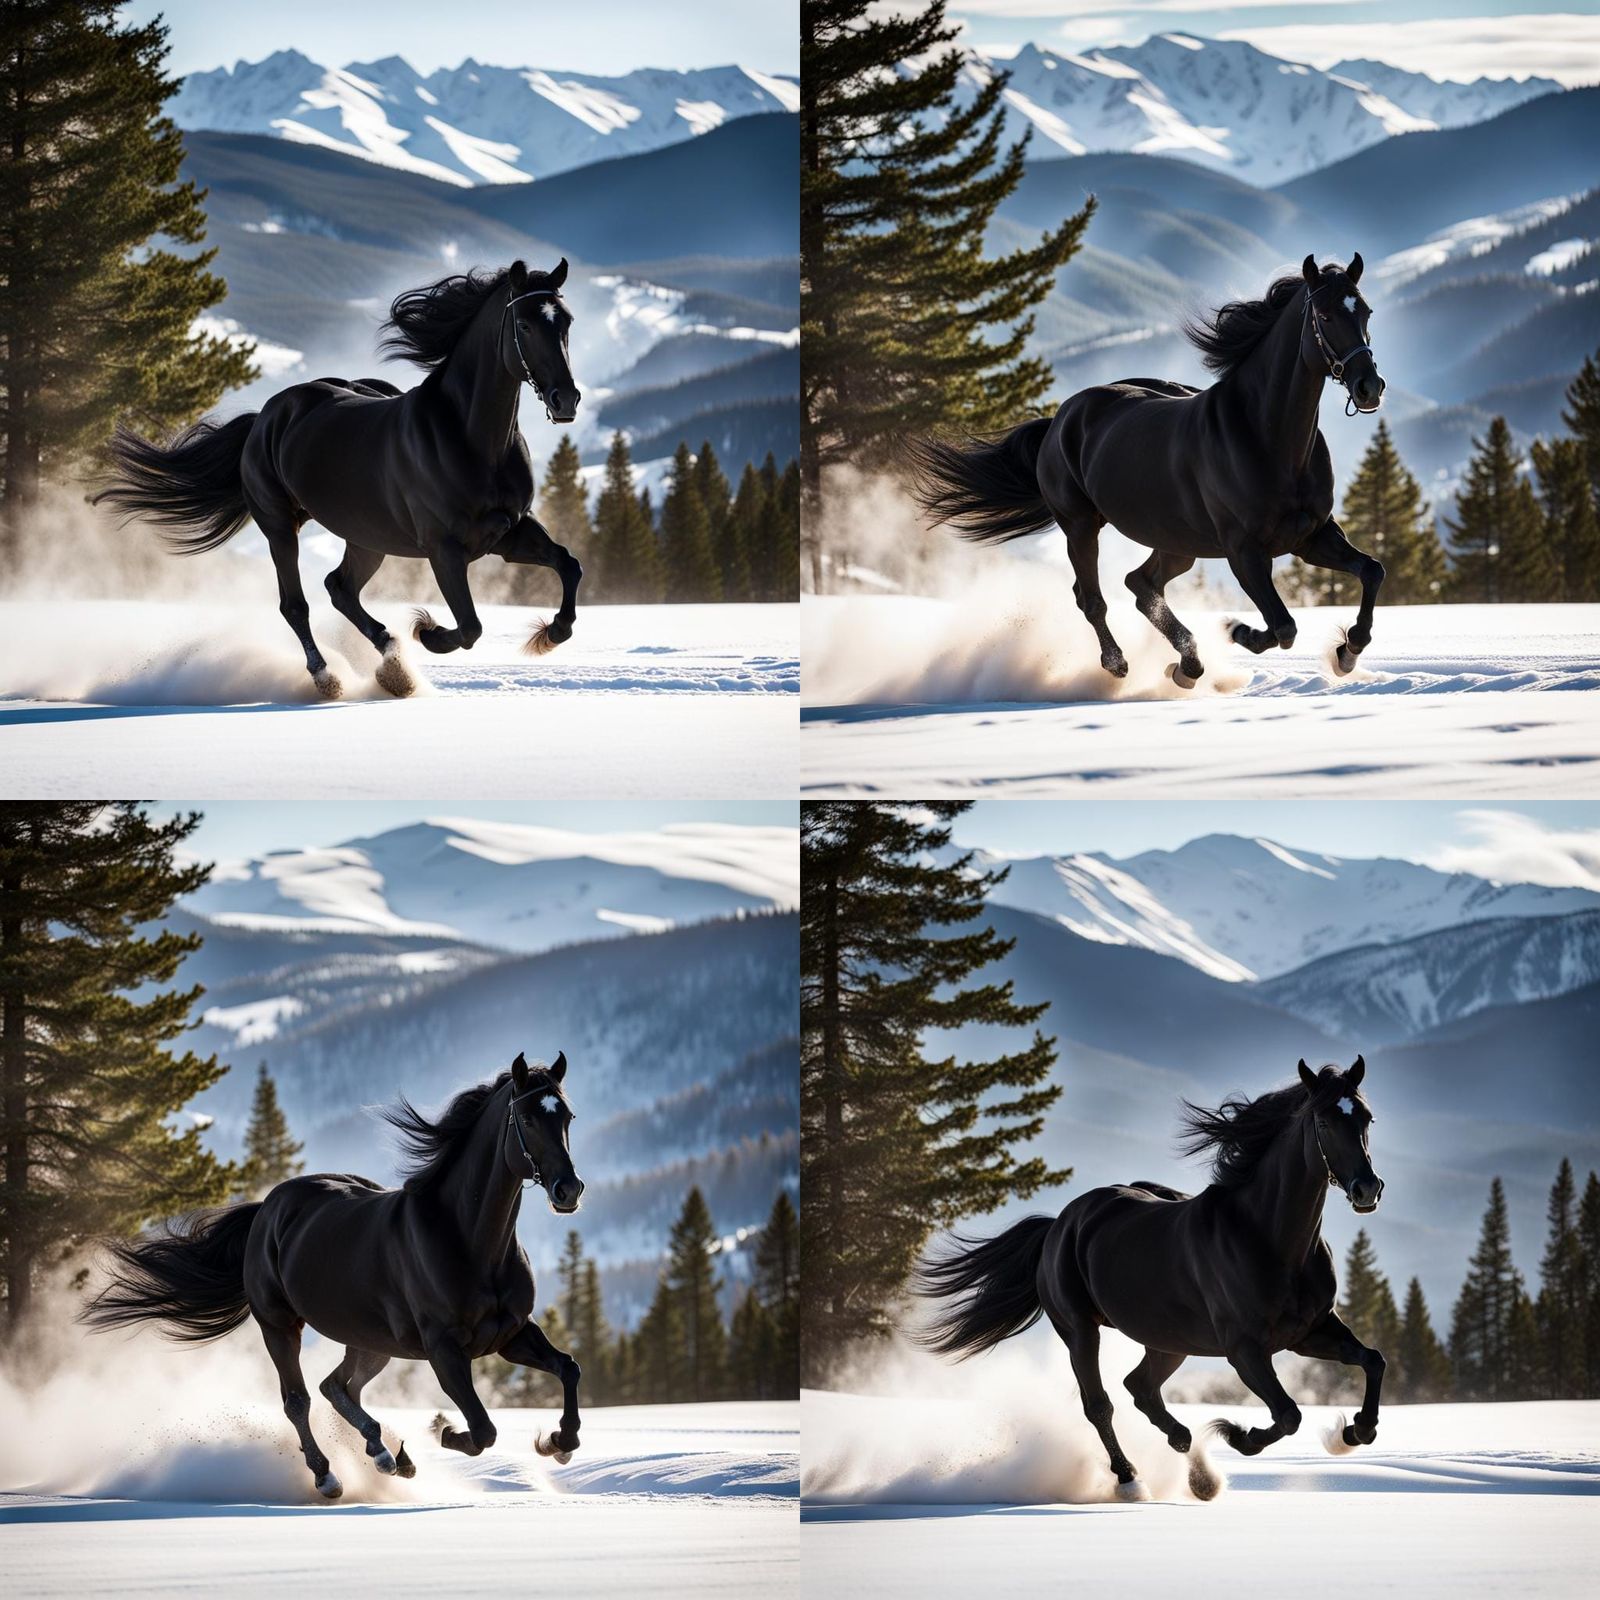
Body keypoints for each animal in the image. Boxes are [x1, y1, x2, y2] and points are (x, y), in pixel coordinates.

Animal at [83, 1052, 585, 1500]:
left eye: (568, 1116)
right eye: (528, 1118)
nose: (568, 1190)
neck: (468, 1242)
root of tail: (267, 1208)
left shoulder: (511, 1334)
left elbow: (568, 1367)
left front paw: (558, 1443)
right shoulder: (444, 1349)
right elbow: (482, 1430)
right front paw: (445, 1431)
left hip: (372, 1341)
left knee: (337, 1386)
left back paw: (387, 1454)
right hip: (280, 1325)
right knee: (300, 1399)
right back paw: (330, 1476)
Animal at [95, 259, 585, 701]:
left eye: (566, 321)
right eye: (524, 323)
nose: (566, 399)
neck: (472, 440)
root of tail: (264, 418)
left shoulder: (509, 532)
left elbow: (568, 565)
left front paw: (549, 634)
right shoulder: (444, 548)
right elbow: (469, 626)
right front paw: (426, 631)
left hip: (367, 537)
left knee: (339, 587)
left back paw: (392, 664)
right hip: (280, 526)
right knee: (296, 603)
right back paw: (330, 677)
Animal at [910, 255, 1387, 687]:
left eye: (1365, 311)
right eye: (1325, 315)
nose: (1369, 387)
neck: (1267, 438)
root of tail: (1061, 417)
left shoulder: (1311, 536)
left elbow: (1372, 571)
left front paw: (1347, 651)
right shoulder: (1244, 551)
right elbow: (1283, 626)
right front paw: (1237, 630)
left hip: (1178, 542)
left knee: (1141, 585)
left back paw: (1187, 666)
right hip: (1081, 525)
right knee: (1093, 598)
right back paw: (1121, 664)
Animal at [917, 1058, 1386, 1503]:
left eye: (1366, 1118)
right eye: (1324, 1121)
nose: (1367, 1189)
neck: (1270, 1239)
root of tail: (1059, 1225)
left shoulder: (1311, 1331)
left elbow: (1373, 1360)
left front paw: (1351, 1433)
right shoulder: (1245, 1349)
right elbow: (1288, 1414)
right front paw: (1237, 1435)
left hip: (1169, 1340)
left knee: (1140, 1388)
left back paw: (1194, 1465)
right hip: (1080, 1330)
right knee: (1100, 1404)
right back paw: (1131, 1479)